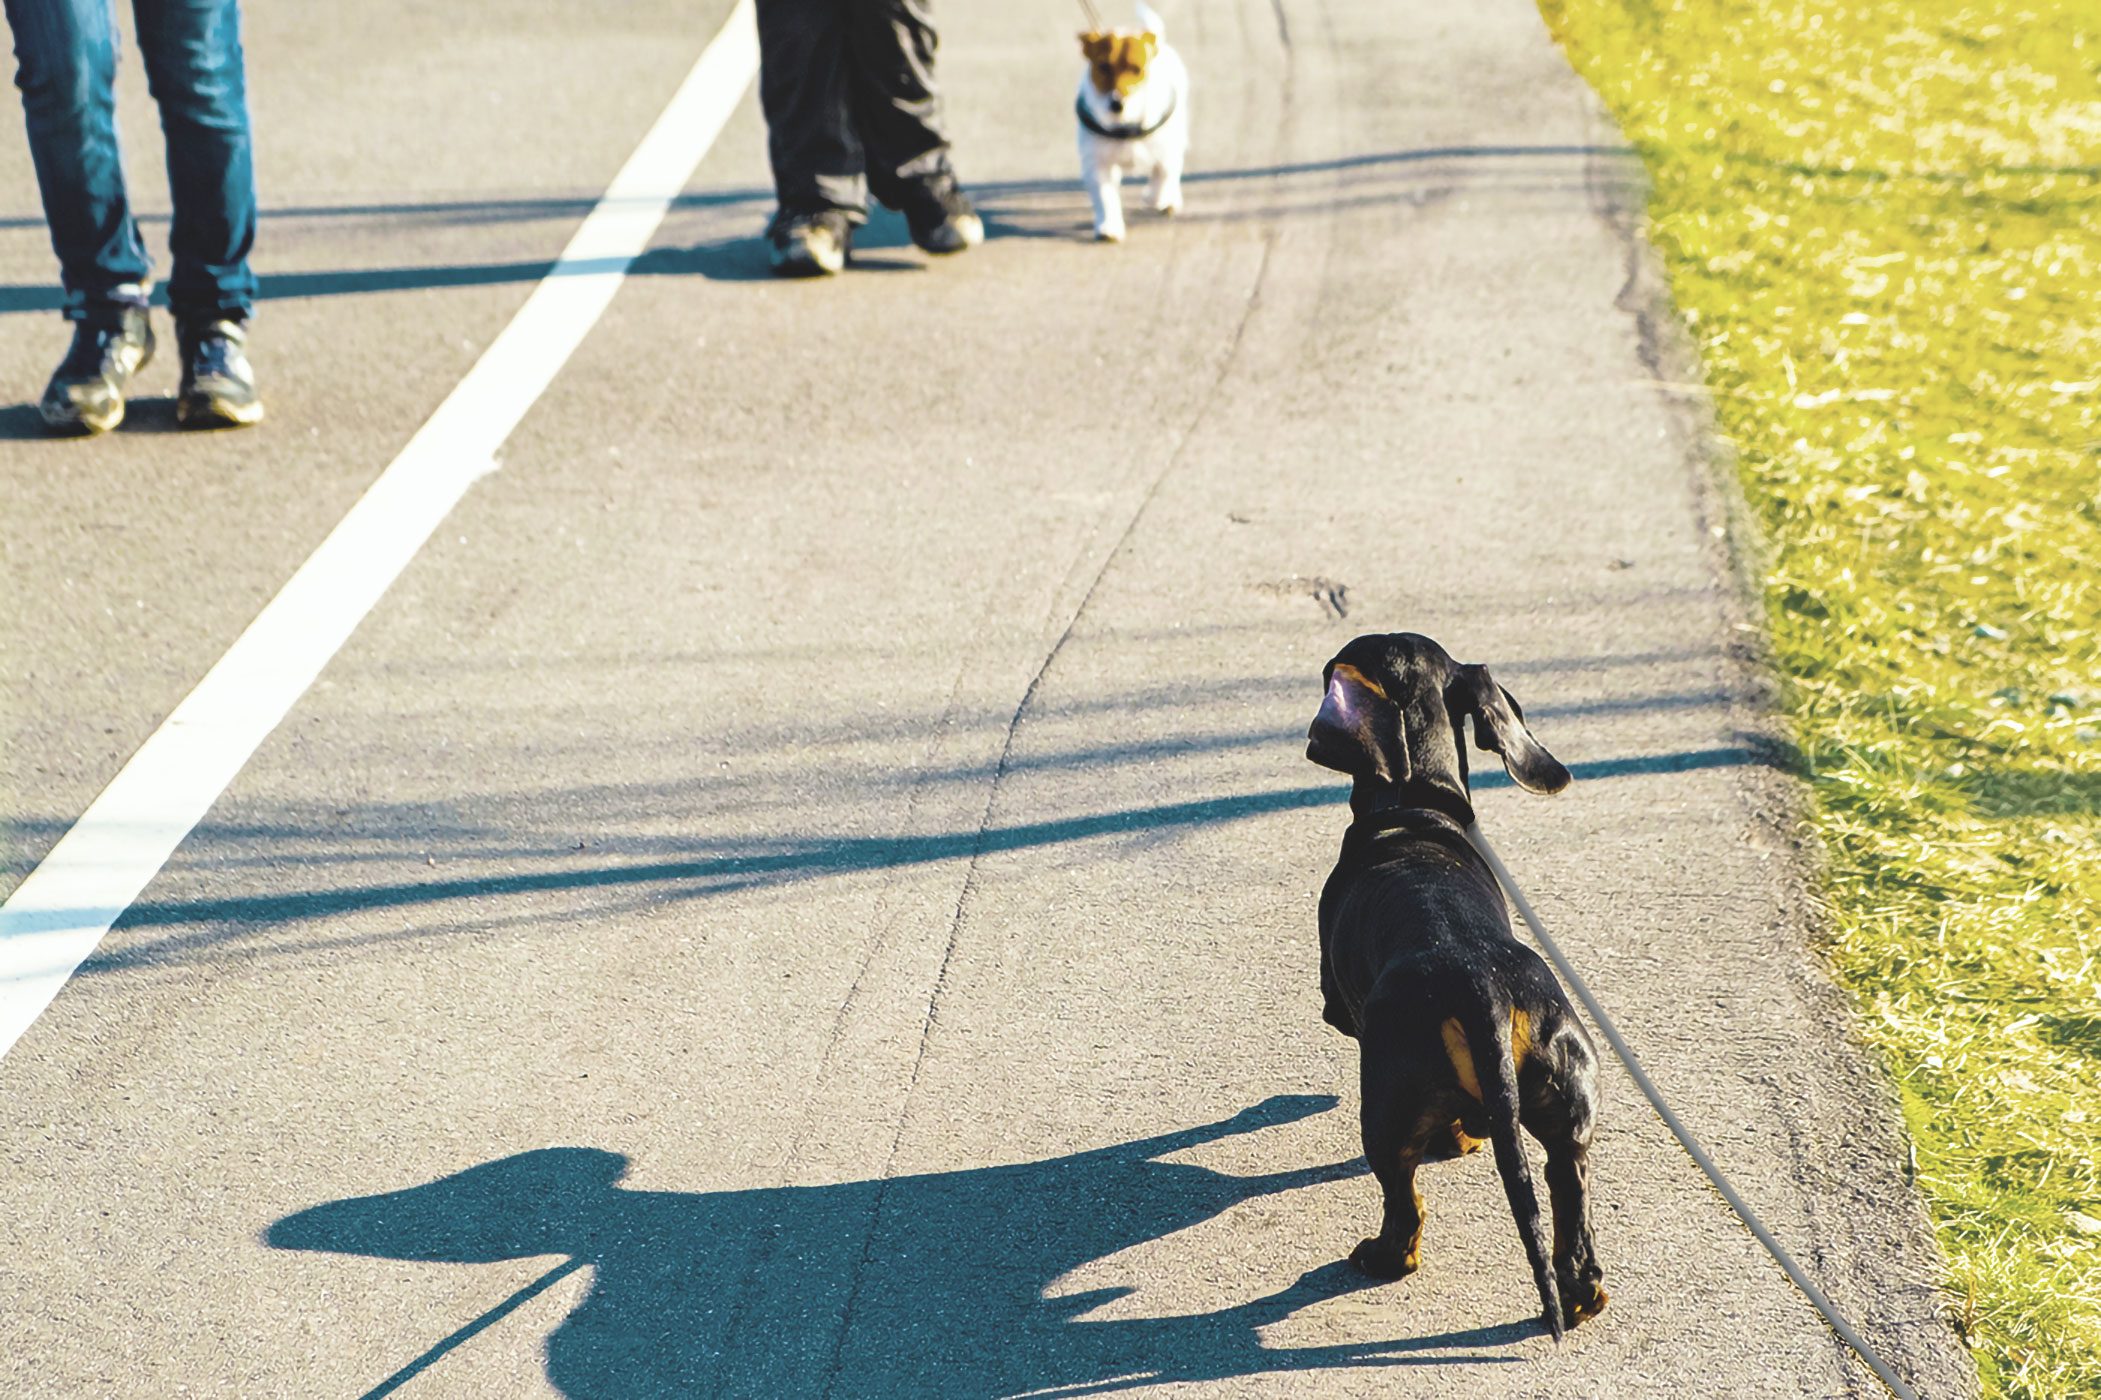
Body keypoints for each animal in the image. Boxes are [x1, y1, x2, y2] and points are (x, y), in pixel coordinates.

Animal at [1075, 4, 1193, 239]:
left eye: (1136, 69)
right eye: (1103, 66)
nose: (1116, 104)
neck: (1124, 125)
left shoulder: (1167, 151)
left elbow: (1163, 174)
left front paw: (1157, 198)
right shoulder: (1098, 163)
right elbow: (1105, 197)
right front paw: (1109, 227)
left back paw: (1169, 200)